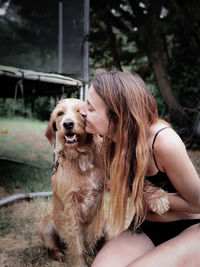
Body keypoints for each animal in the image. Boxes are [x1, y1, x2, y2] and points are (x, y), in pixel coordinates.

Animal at [38, 99, 108, 267]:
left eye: (80, 112)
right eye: (60, 113)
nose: (68, 124)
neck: (82, 157)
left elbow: (90, 236)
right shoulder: (71, 208)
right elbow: (76, 244)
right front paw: (80, 262)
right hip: (45, 224)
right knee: (52, 248)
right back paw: (59, 255)